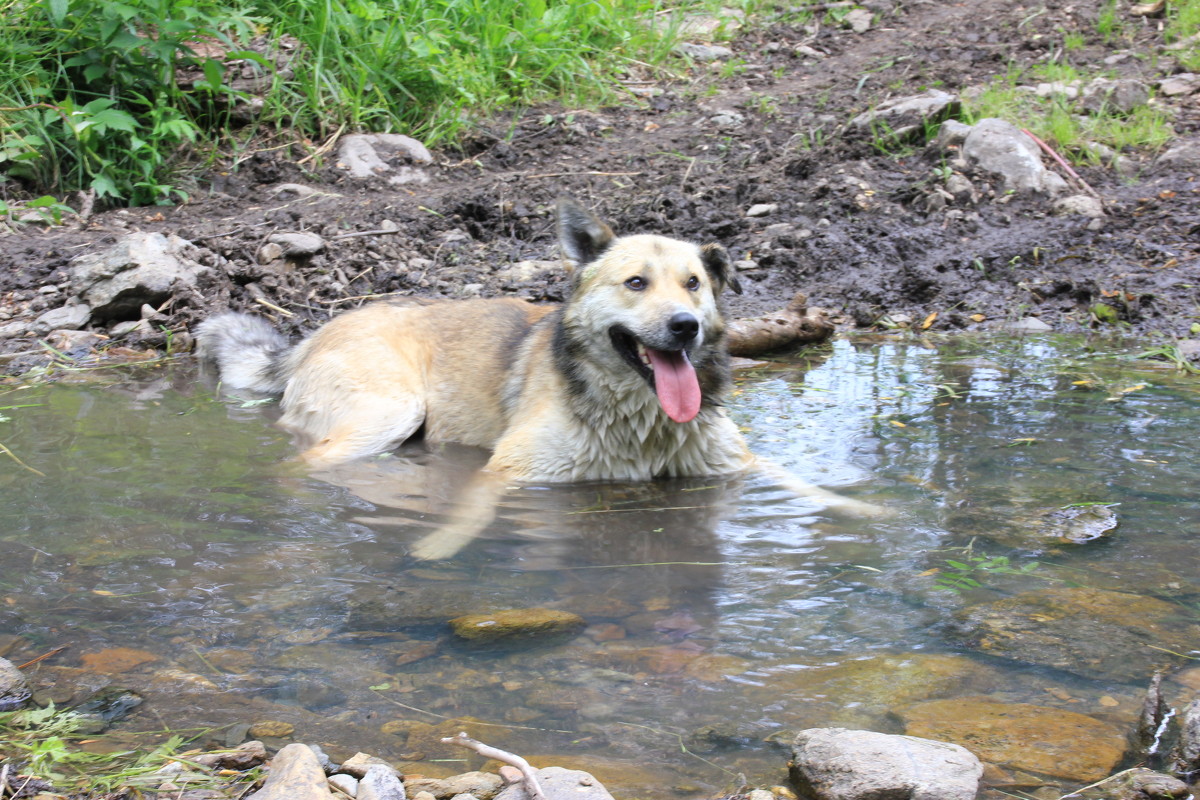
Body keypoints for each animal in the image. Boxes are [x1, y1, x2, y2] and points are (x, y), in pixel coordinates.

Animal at [194, 199, 873, 556]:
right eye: (635, 283)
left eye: (694, 285)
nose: (684, 327)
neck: (643, 422)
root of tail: (312, 336)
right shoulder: (511, 470)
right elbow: (468, 518)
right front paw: (435, 549)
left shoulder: (735, 462)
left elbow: (810, 486)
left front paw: (872, 514)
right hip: (389, 413)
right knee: (295, 467)